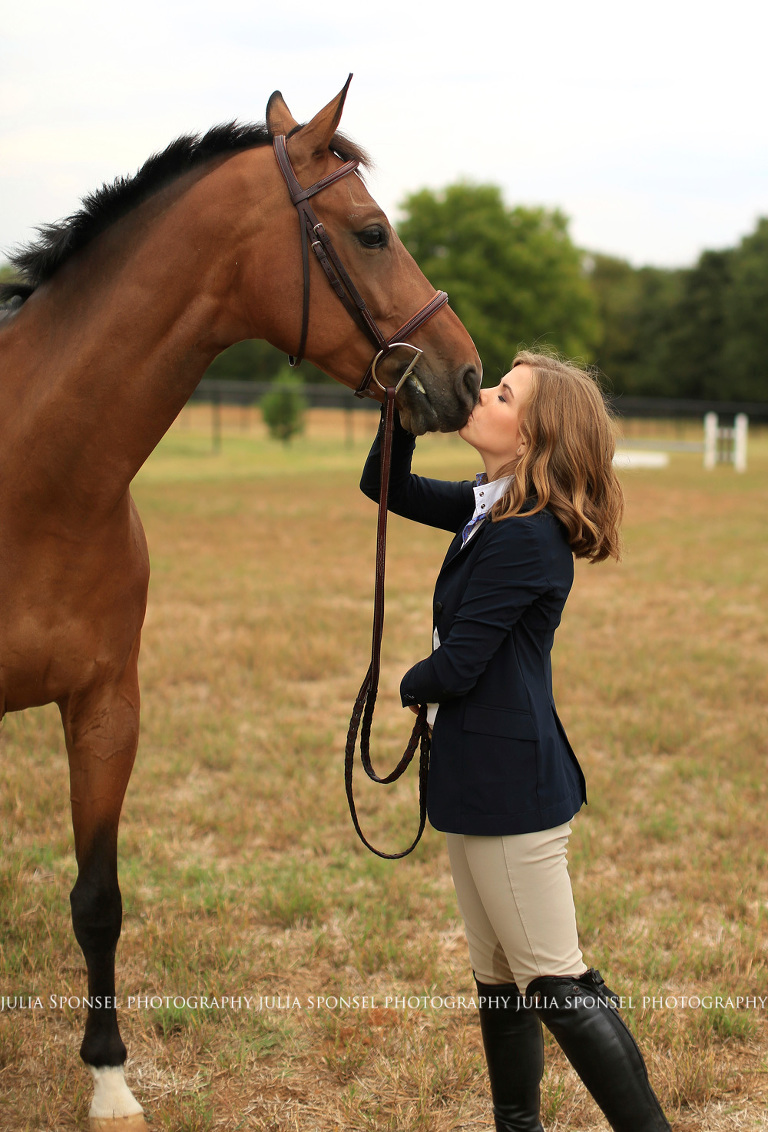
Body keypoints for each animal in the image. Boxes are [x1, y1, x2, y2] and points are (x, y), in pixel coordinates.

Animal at [0, 82, 480, 1132]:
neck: (35, 482)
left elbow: (98, 898)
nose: (466, 374)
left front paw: (110, 1080)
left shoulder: (107, 709)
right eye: (372, 232)